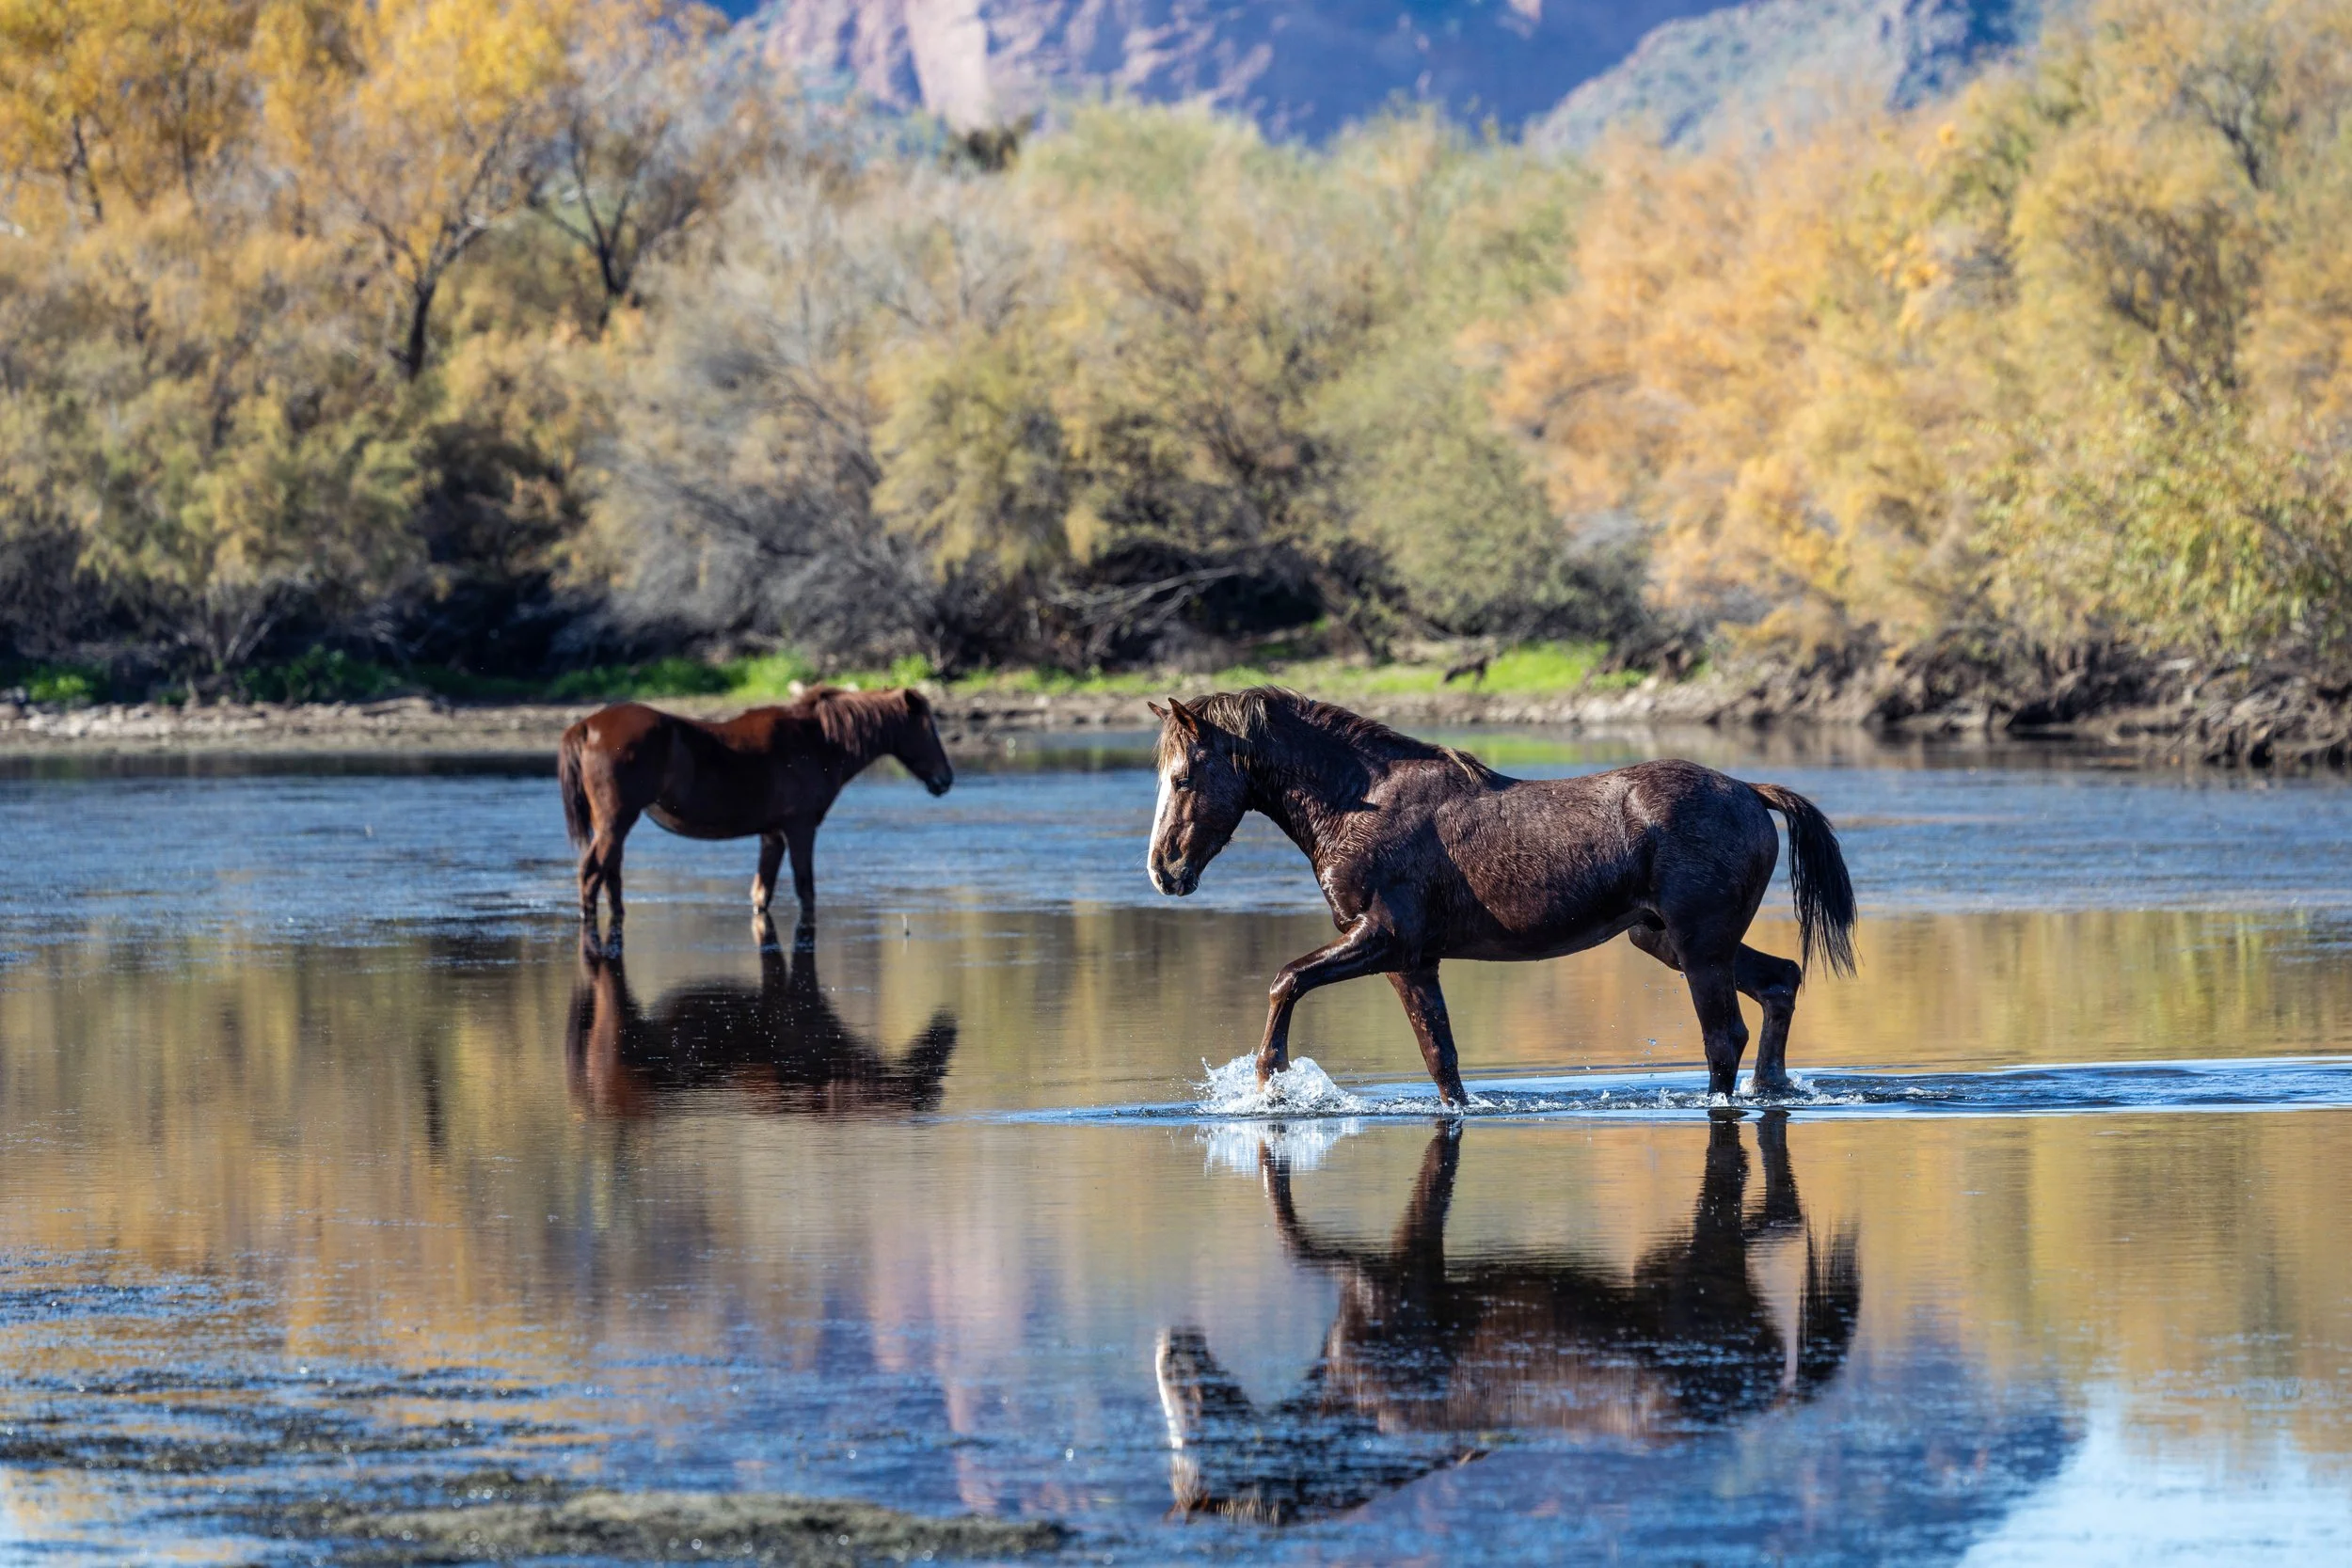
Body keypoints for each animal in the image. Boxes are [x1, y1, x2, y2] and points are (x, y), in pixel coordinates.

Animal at [558, 685, 953, 939]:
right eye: (928, 728)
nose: (945, 779)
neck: (818, 742)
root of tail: (586, 726)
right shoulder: (799, 829)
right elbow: (806, 890)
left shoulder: (771, 836)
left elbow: (761, 895)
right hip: (615, 823)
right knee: (591, 876)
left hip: (616, 826)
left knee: (610, 879)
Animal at [1145, 689, 1856, 1102]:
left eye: (1183, 777)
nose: (1164, 870)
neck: (1355, 802)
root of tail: (1752, 793)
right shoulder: (1413, 961)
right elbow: (1442, 1060)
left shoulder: (1385, 941)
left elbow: (1286, 979)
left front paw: (1270, 1082)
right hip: (1669, 939)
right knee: (1780, 981)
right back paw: (1774, 1088)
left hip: (1698, 945)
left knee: (1724, 1035)